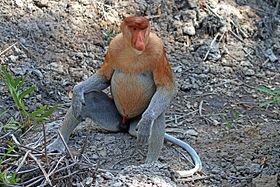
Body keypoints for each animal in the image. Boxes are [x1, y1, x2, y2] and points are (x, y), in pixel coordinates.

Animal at [47, 16, 201, 177]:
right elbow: (104, 77)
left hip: (136, 118)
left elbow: (166, 88)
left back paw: (149, 164)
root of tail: (126, 125)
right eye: (134, 28)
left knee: (157, 115)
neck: (133, 52)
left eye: (143, 29)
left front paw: (146, 122)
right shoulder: (113, 46)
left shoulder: (158, 49)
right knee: (89, 100)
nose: (140, 41)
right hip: (112, 118)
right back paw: (58, 143)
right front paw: (77, 92)